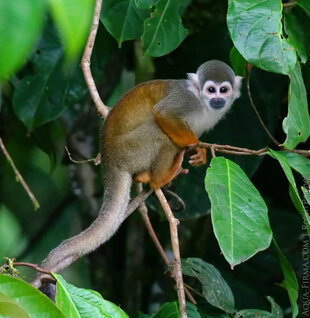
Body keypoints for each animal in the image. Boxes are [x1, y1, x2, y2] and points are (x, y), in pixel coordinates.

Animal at [32, 59, 243, 288]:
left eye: (224, 90)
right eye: (211, 90)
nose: (217, 99)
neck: (203, 105)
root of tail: (109, 160)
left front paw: (198, 153)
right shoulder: (187, 101)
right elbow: (164, 114)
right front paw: (196, 146)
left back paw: (147, 176)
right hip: (130, 149)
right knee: (160, 132)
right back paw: (160, 178)